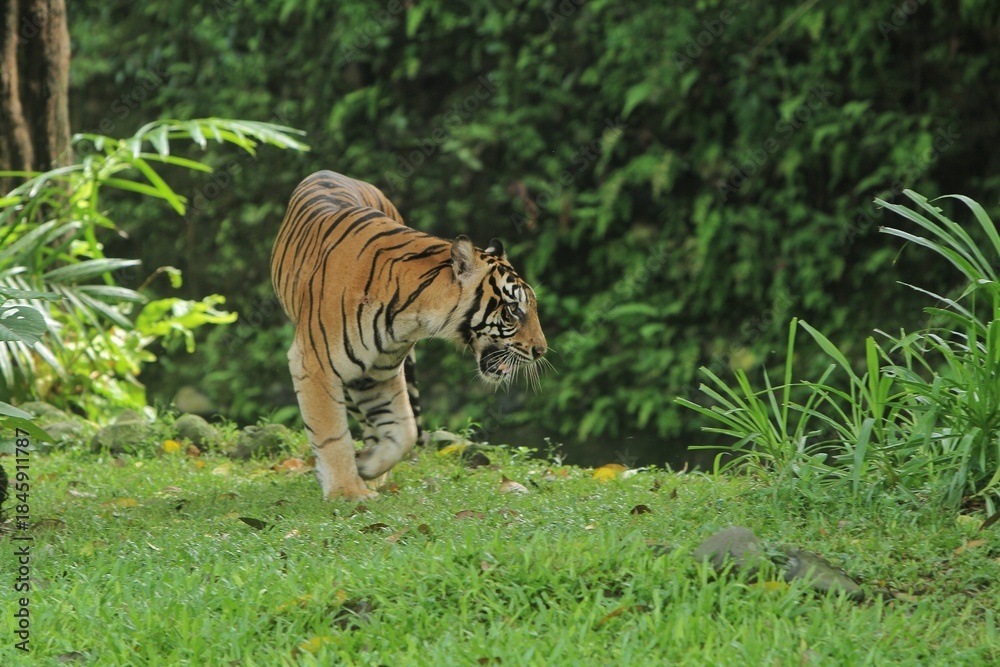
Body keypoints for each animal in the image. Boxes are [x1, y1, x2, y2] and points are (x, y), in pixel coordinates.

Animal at [270, 170, 547, 499]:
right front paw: (349, 492)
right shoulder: (316, 364)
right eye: (514, 308)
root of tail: (330, 172)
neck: (413, 315)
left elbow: (404, 431)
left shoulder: (379, 372)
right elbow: (332, 434)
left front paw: (367, 466)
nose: (542, 350)